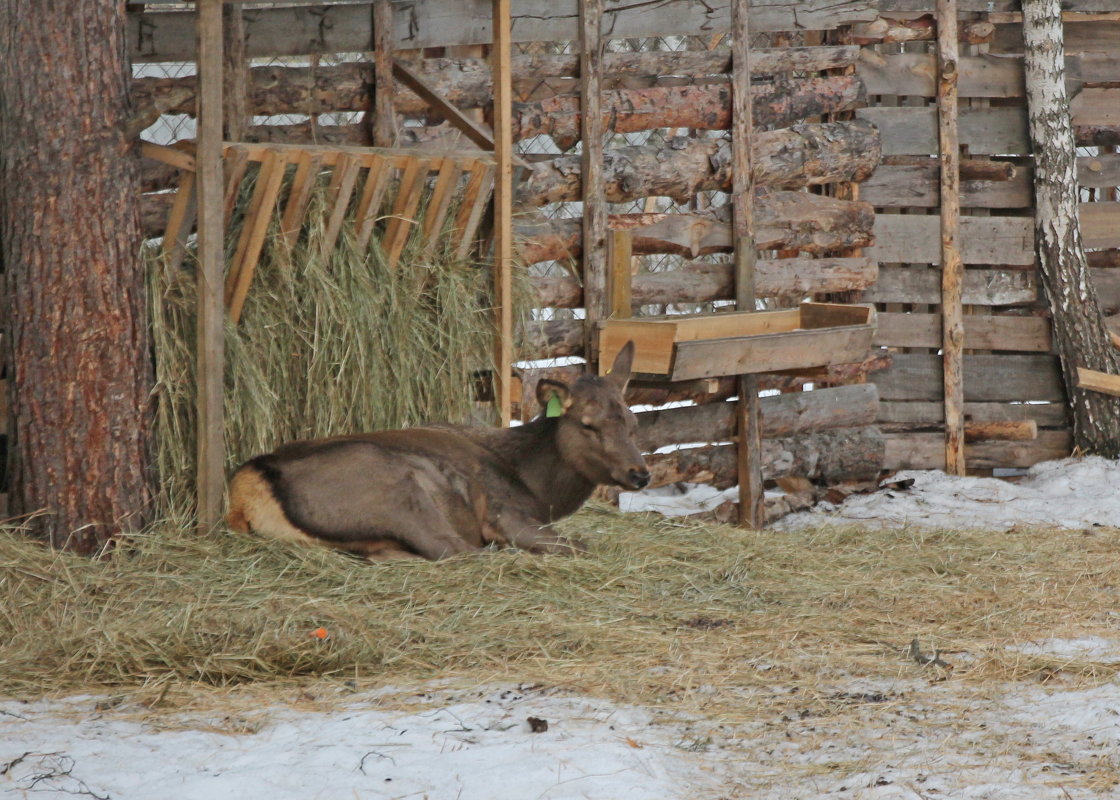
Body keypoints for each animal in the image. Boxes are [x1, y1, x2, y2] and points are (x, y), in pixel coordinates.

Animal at [224, 340, 654, 557]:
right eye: (587, 424)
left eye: (633, 424)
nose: (640, 473)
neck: (536, 489)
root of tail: (246, 490)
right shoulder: (503, 513)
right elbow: (578, 544)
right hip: (396, 489)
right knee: (455, 550)